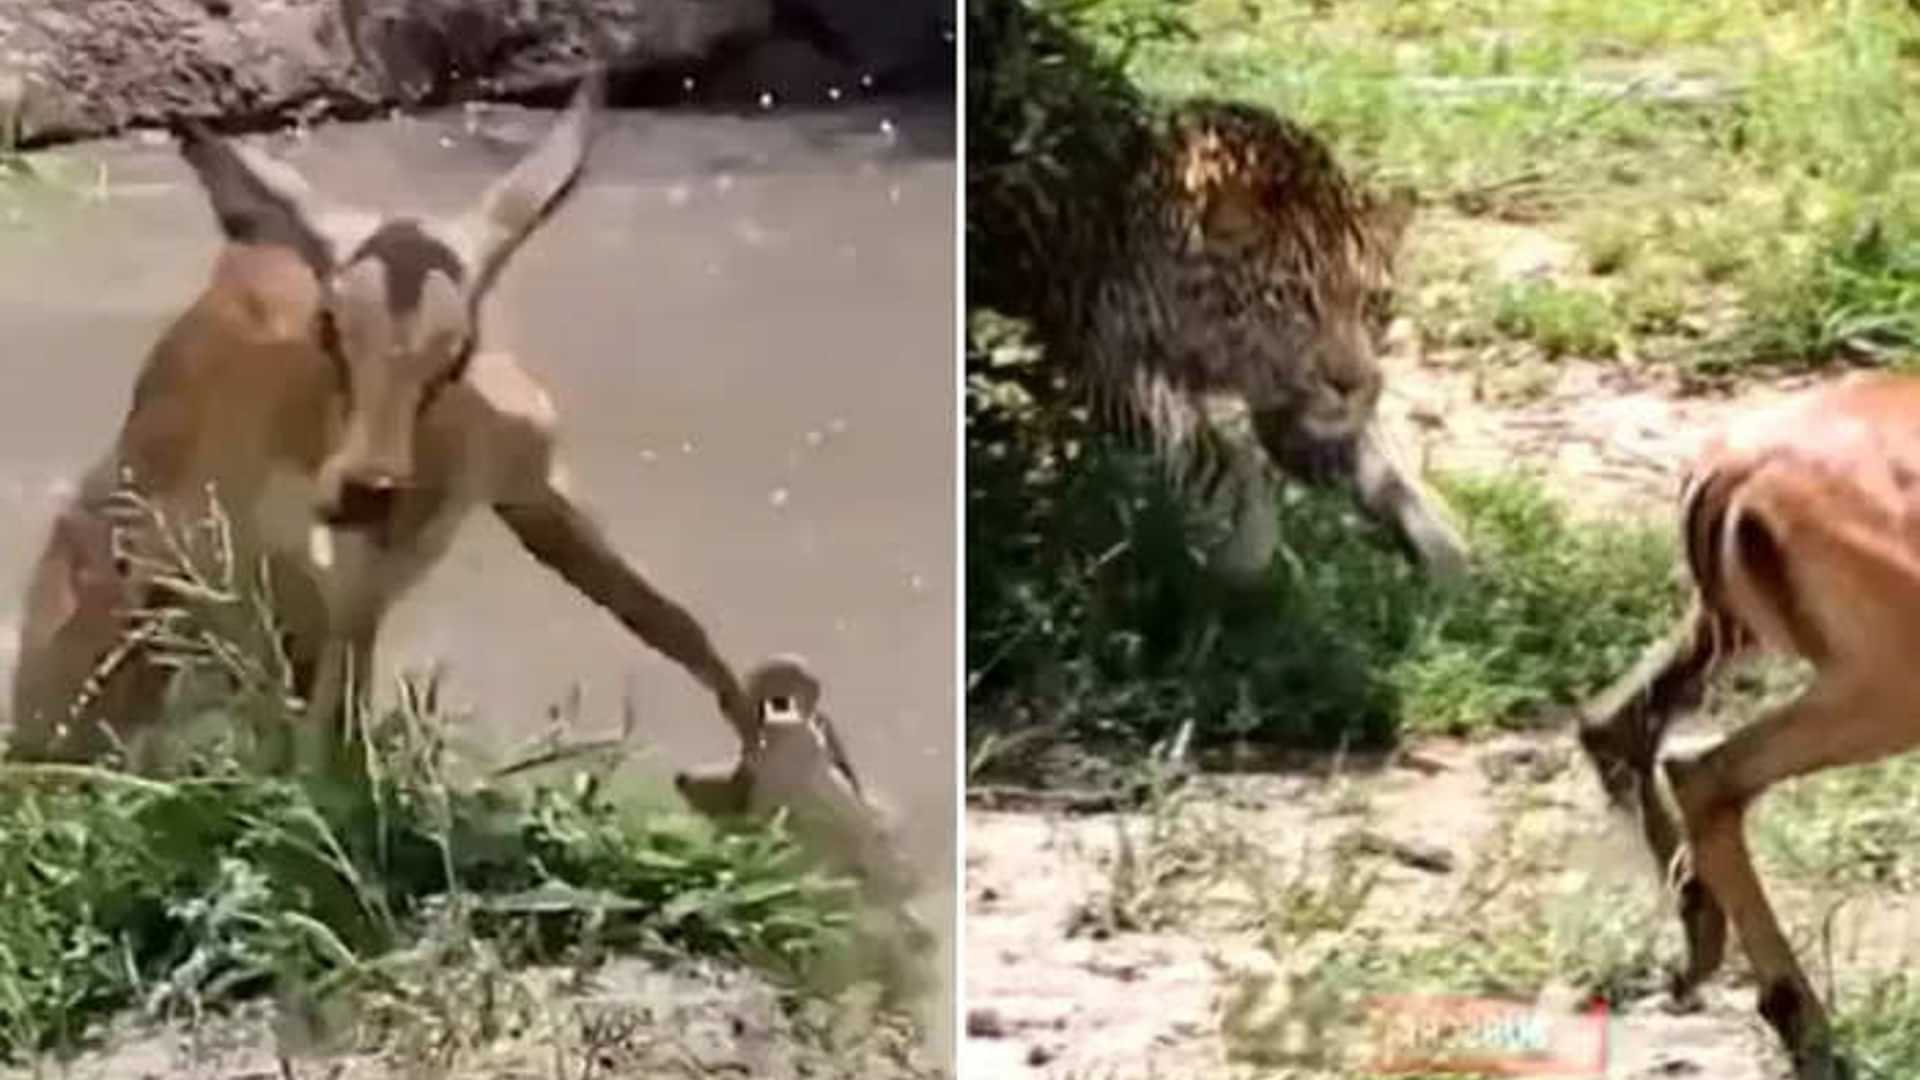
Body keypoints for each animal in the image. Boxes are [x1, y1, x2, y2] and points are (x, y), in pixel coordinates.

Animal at [1574, 370, 1920, 1080]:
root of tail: (1731, 469)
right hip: (1884, 689)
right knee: (1699, 769)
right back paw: (1802, 1022)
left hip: (1732, 633)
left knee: (1616, 725)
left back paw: (1699, 947)